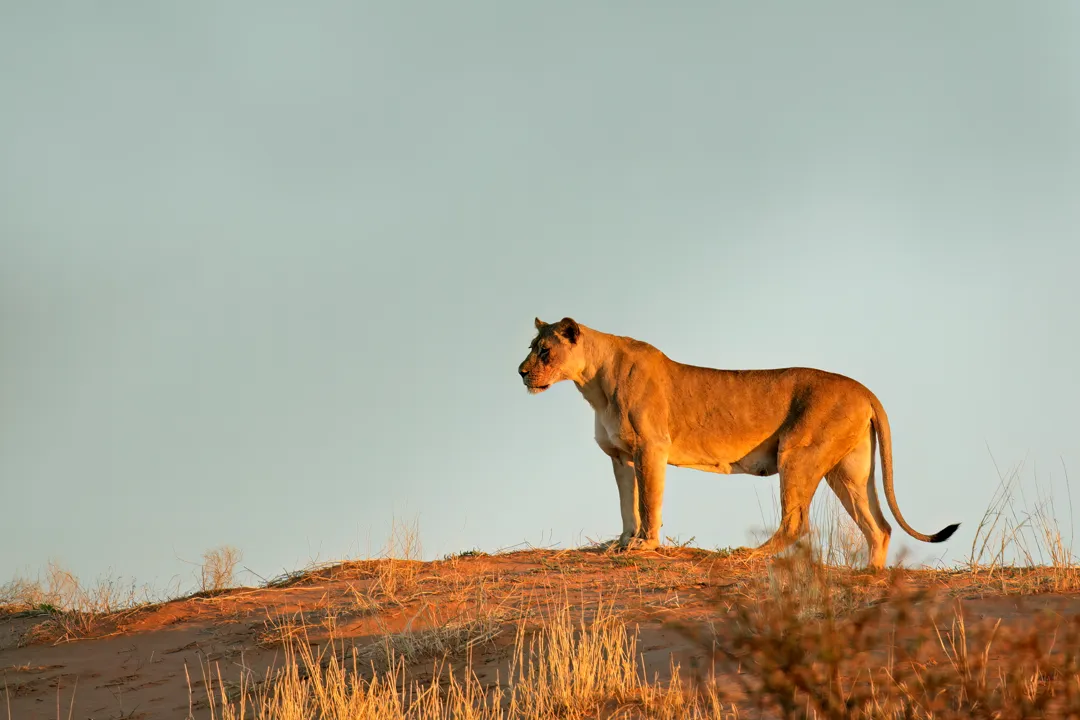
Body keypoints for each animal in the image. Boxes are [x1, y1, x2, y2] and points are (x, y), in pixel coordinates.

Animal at [517, 317, 958, 571]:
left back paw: (750, 554)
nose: (520, 372)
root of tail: (865, 390)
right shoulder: (620, 455)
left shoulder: (651, 448)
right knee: (879, 526)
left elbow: (648, 502)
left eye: (544, 350)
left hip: (798, 453)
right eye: (531, 348)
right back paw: (871, 575)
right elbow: (629, 504)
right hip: (848, 471)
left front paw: (645, 546)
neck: (592, 381)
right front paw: (622, 543)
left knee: (797, 523)